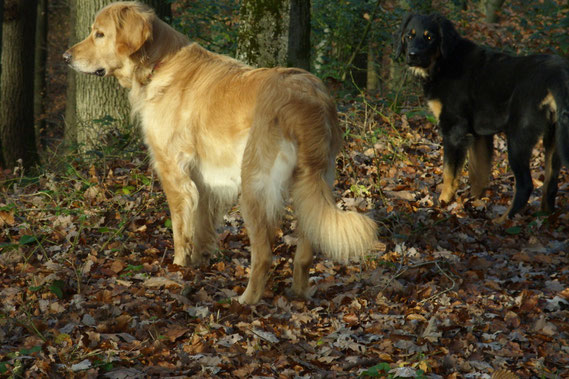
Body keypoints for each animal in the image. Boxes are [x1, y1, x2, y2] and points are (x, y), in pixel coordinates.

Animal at [394, 14, 568, 223]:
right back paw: (544, 216)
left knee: (525, 184)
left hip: (518, 137)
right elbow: (478, 173)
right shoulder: (479, 135)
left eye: (429, 37)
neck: (444, 63)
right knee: (550, 184)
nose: (412, 55)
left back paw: (502, 221)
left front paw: (443, 204)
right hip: (554, 138)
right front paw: (473, 202)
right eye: (409, 36)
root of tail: (556, 73)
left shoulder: (454, 130)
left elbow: (449, 173)